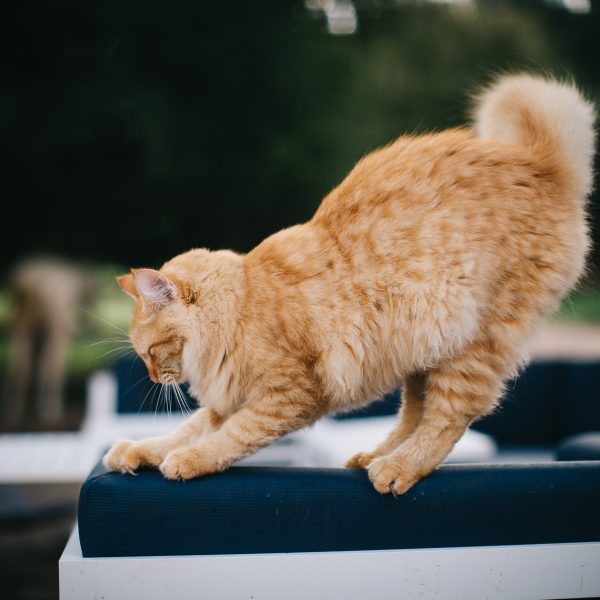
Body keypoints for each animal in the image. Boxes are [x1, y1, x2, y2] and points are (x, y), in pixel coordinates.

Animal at [104, 75, 596, 494]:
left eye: (149, 352)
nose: (154, 377)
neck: (242, 304)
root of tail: (542, 163)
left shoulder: (285, 396)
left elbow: (227, 439)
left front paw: (188, 461)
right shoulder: (231, 398)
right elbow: (183, 429)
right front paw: (136, 450)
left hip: (473, 345)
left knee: (447, 419)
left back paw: (398, 467)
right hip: (422, 352)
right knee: (414, 414)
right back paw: (373, 457)